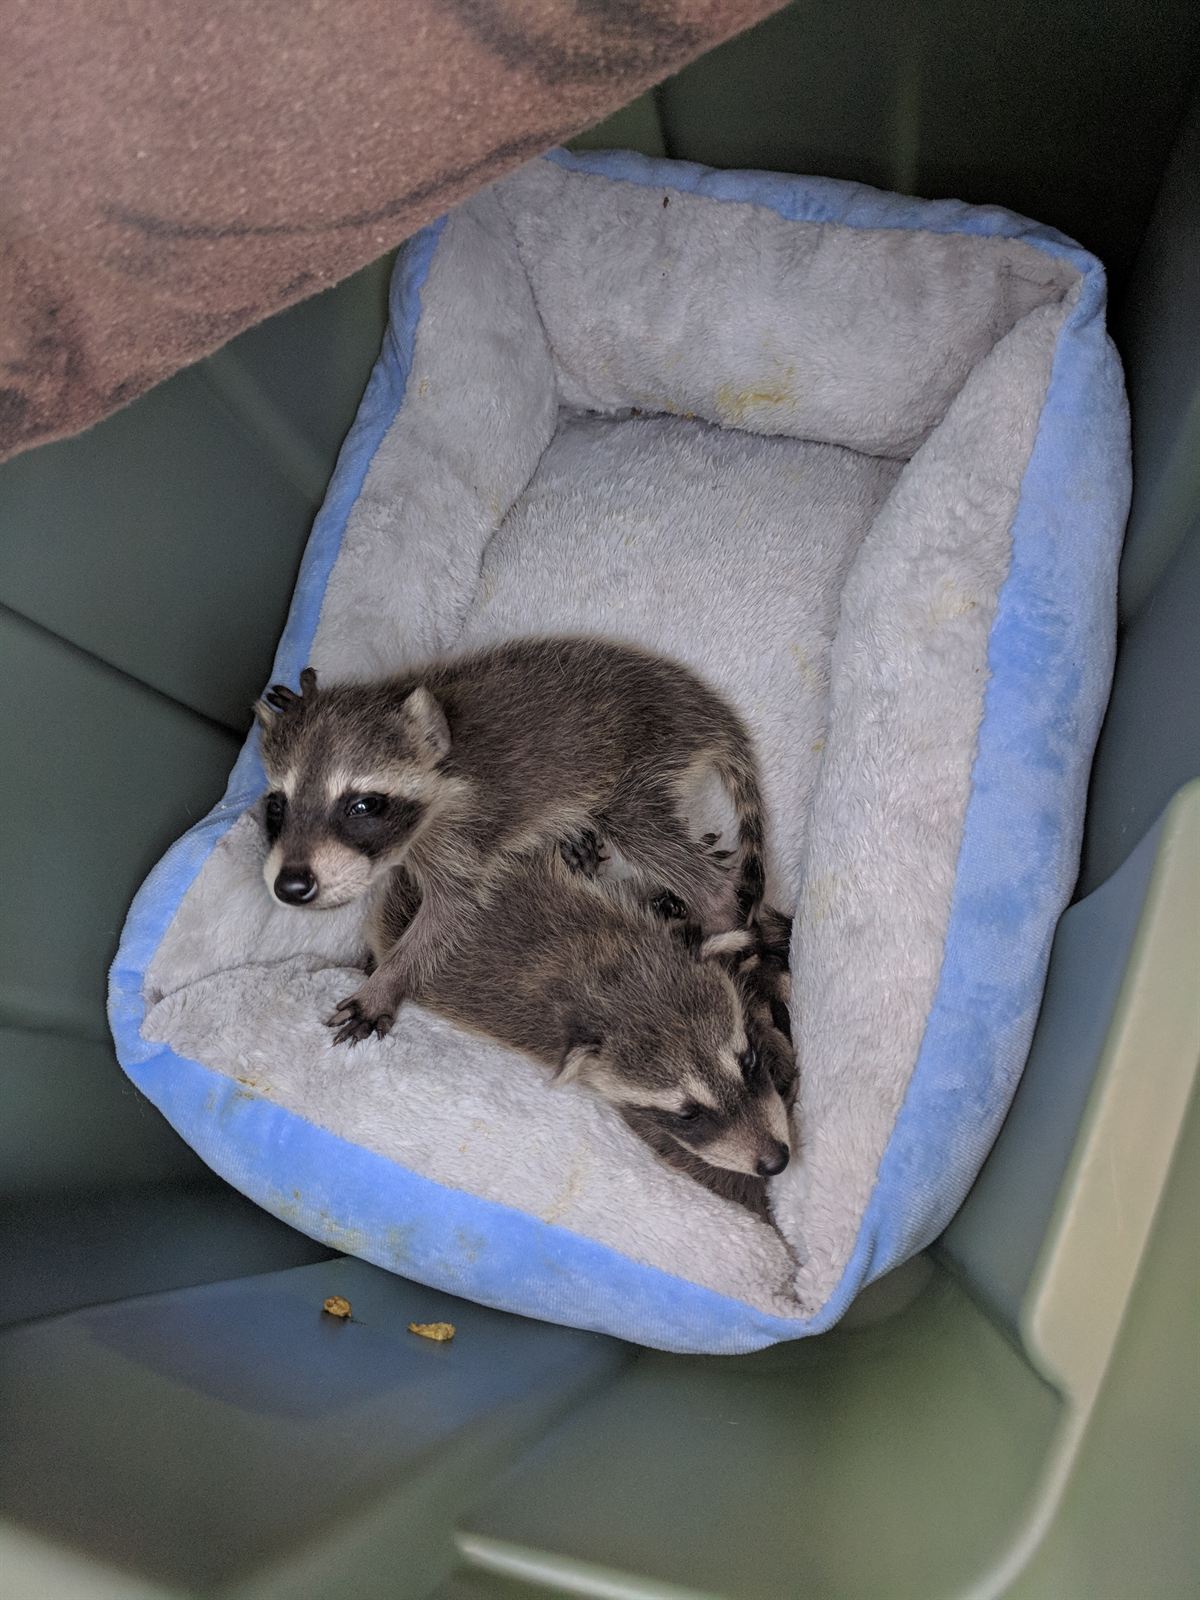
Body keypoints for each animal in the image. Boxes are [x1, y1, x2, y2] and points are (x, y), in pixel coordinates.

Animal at [255, 637, 769, 1043]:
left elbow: (449, 914)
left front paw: (388, 979)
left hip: (647, 757)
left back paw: (715, 904)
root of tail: (704, 706)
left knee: (650, 834)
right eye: (276, 805)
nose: (292, 886)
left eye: (362, 806)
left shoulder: (460, 836)